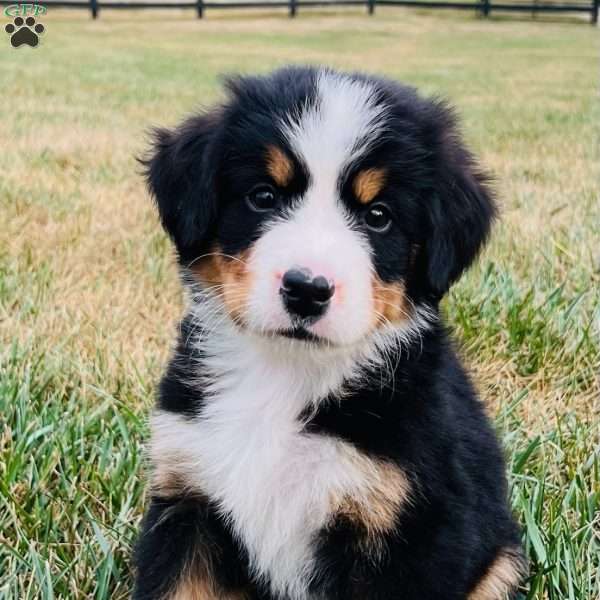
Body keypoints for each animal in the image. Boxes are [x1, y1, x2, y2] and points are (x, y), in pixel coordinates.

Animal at [135, 65, 524, 600]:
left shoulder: (407, 531)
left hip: (502, 560)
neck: (285, 375)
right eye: (263, 196)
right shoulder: (187, 500)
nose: (307, 289)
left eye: (378, 215)